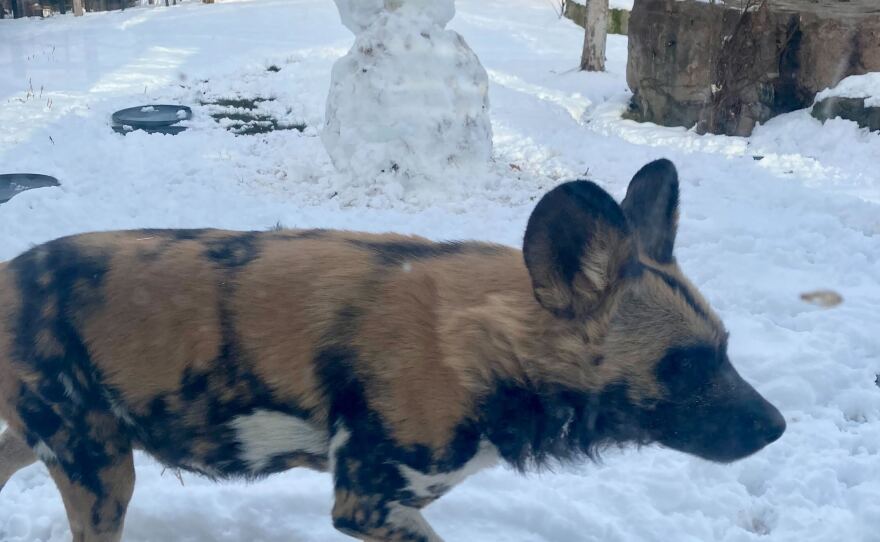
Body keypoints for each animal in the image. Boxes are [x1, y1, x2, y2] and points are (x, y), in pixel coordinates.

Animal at [0, 159, 784, 542]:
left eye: (724, 349)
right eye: (684, 364)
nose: (776, 426)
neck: (484, 347)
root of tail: (10, 272)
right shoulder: (369, 505)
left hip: (58, 446)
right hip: (101, 472)